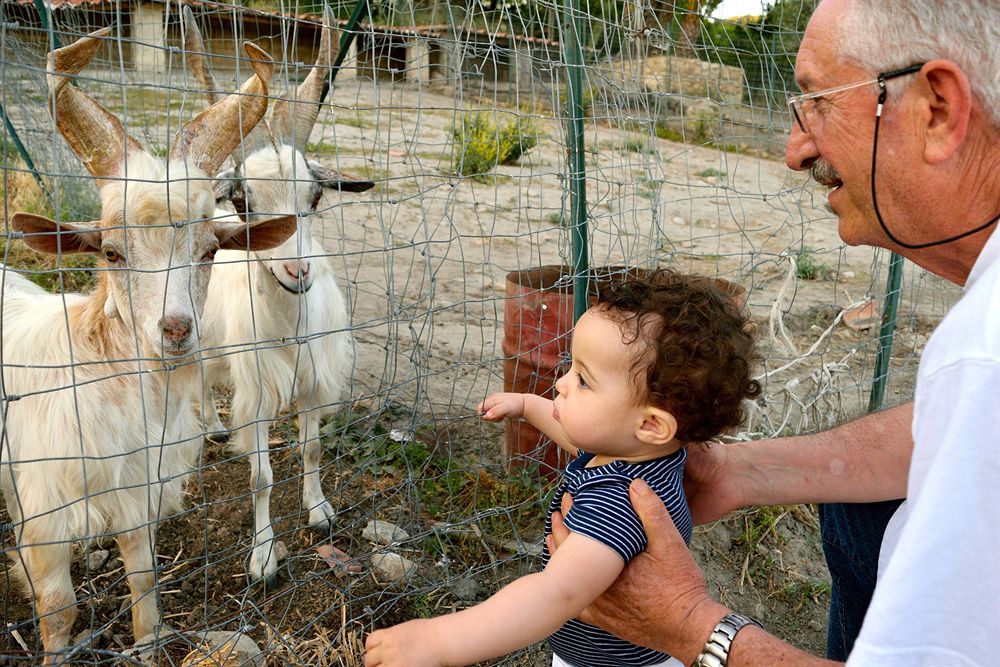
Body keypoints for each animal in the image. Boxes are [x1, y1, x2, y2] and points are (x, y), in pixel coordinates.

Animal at [1, 31, 294, 664]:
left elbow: (142, 576)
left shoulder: (137, 490)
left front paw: (150, 640)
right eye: (111, 252)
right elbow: (58, 609)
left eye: (211, 249)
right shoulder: (47, 512)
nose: (177, 330)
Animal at [185, 5, 376, 580]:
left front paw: (320, 513)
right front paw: (264, 556)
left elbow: (312, 450)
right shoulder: (257, 392)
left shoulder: (315, 380)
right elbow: (261, 478)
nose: (298, 271)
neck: (291, 331)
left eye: (314, 196)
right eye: (244, 200)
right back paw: (213, 431)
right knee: (202, 380)